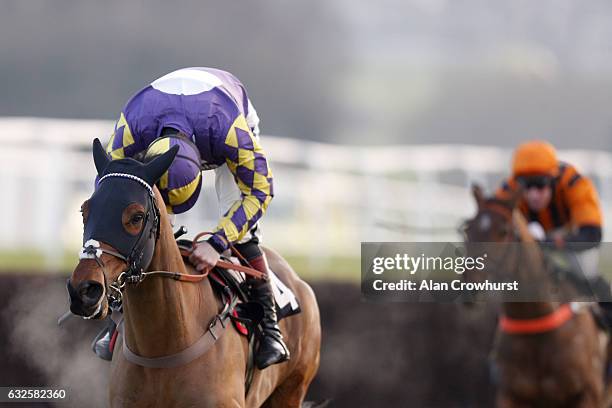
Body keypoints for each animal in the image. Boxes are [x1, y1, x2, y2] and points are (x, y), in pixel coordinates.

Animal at [67, 139, 322, 406]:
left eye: (136, 216)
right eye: (84, 211)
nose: (84, 290)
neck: (162, 350)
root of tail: (299, 282)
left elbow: (258, 190)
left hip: (292, 389)